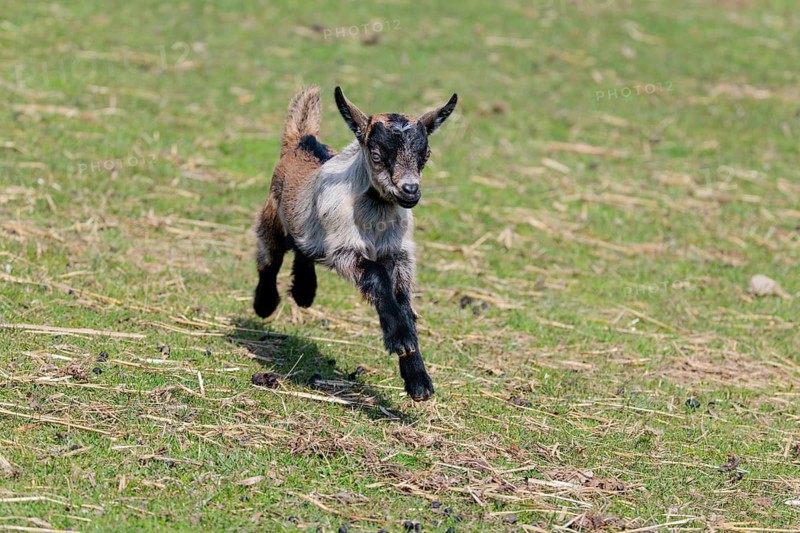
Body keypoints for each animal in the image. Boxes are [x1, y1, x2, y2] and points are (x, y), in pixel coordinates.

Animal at [253, 85, 457, 401]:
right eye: (376, 154)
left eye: (425, 154)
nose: (410, 190)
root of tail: (300, 141)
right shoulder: (345, 250)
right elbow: (376, 276)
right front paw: (400, 339)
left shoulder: (398, 254)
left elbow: (403, 301)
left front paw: (418, 380)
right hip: (272, 217)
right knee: (269, 258)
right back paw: (265, 304)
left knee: (303, 249)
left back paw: (304, 292)